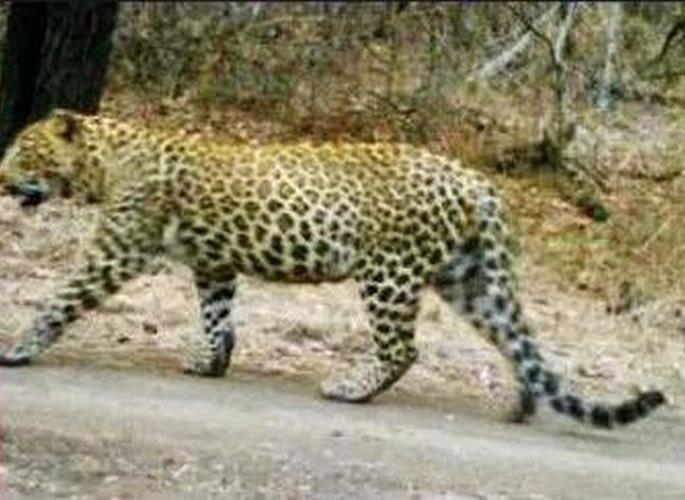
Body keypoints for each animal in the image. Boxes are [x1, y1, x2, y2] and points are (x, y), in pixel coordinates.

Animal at [0, 108, 666, 429]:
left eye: (24, 150)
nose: (2, 179)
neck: (106, 164)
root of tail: (479, 183)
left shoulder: (117, 250)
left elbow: (61, 300)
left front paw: (17, 349)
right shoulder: (214, 263)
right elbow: (217, 315)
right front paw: (210, 362)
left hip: (390, 272)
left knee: (402, 349)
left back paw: (349, 388)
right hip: (471, 278)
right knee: (518, 341)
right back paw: (522, 404)